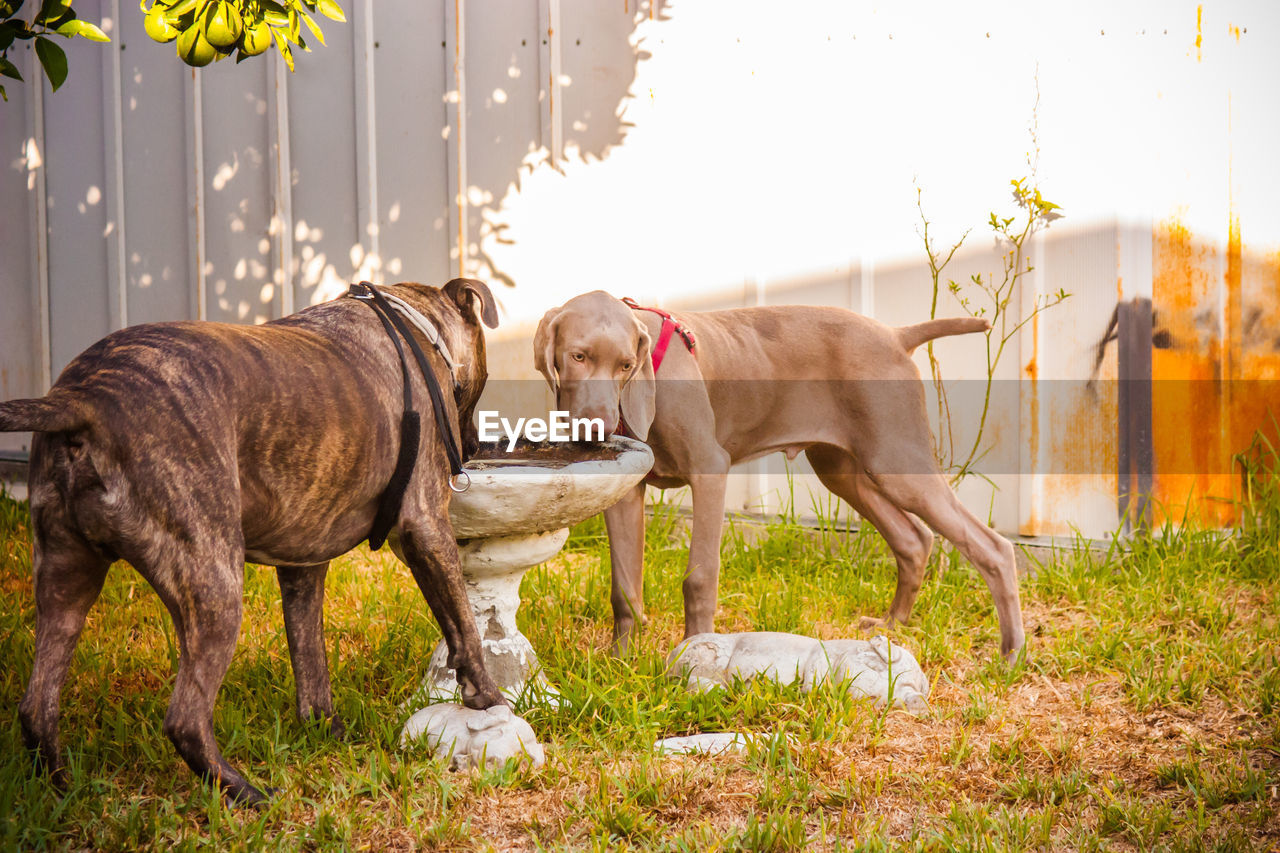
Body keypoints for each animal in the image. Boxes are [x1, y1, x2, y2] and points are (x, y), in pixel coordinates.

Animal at [0, 279, 504, 804]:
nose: (475, 446)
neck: (415, 323)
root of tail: (84, 398)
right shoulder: (425, 525)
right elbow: (463, 624)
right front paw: (487, 698)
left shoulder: (303, 566)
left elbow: (309, 656)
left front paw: (325, 730)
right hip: (213, 582)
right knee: (184, 718)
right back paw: (243, 792)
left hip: (65, 578)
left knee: (37, 705)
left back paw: (62, 791)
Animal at [535, 290, 1024, 655]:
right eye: (578, 357)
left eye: (625, 365)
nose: (598, 427)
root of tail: (895, 333)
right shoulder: (623, 489)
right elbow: (623, 586)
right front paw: (620, 663)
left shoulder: (710, 468)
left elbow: (699, 576)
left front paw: (695, 658)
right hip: (840, 468)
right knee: (913, 538)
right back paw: (892, 626)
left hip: (896, 458)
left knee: (993, 546)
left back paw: (1011, 653)